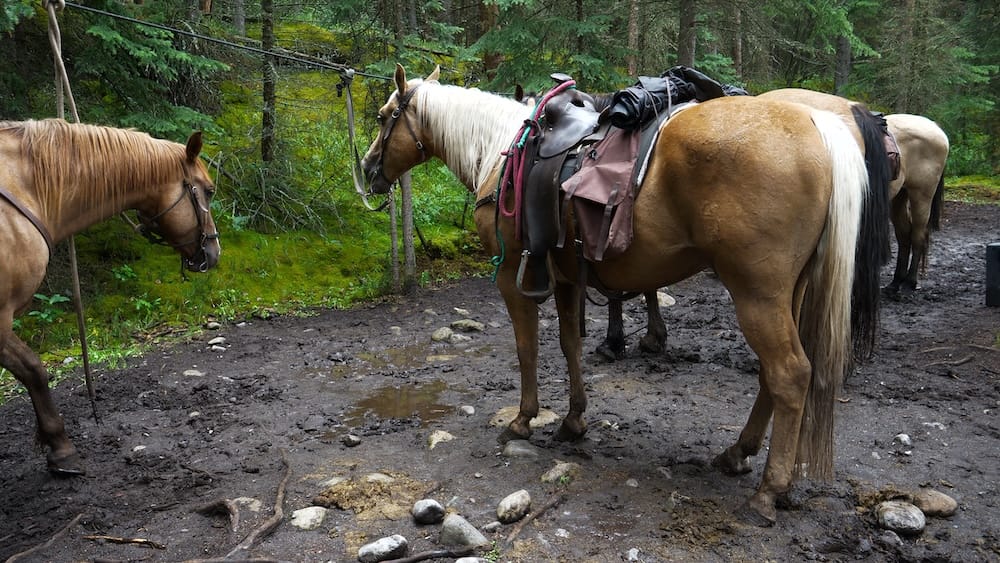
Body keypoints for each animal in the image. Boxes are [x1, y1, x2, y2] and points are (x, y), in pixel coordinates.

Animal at [0, 119, 221, 475]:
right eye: (209, 190)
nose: (215, 251)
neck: (26, 191)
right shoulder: (1, 318)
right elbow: (34, 369)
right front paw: (62, 448)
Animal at [361, 65, 889, 522]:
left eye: (386, 116)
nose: (367, 169)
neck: (500, 150)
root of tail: (819, 128)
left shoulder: (512, 276)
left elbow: (527, 349)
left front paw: (524, 419)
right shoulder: (567, 278)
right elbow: (569, 345)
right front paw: (573, 421)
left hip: (757, 296)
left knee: (791, 375)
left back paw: (769, 490)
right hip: (788, 295)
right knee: (773, 376)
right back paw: (738, 453)